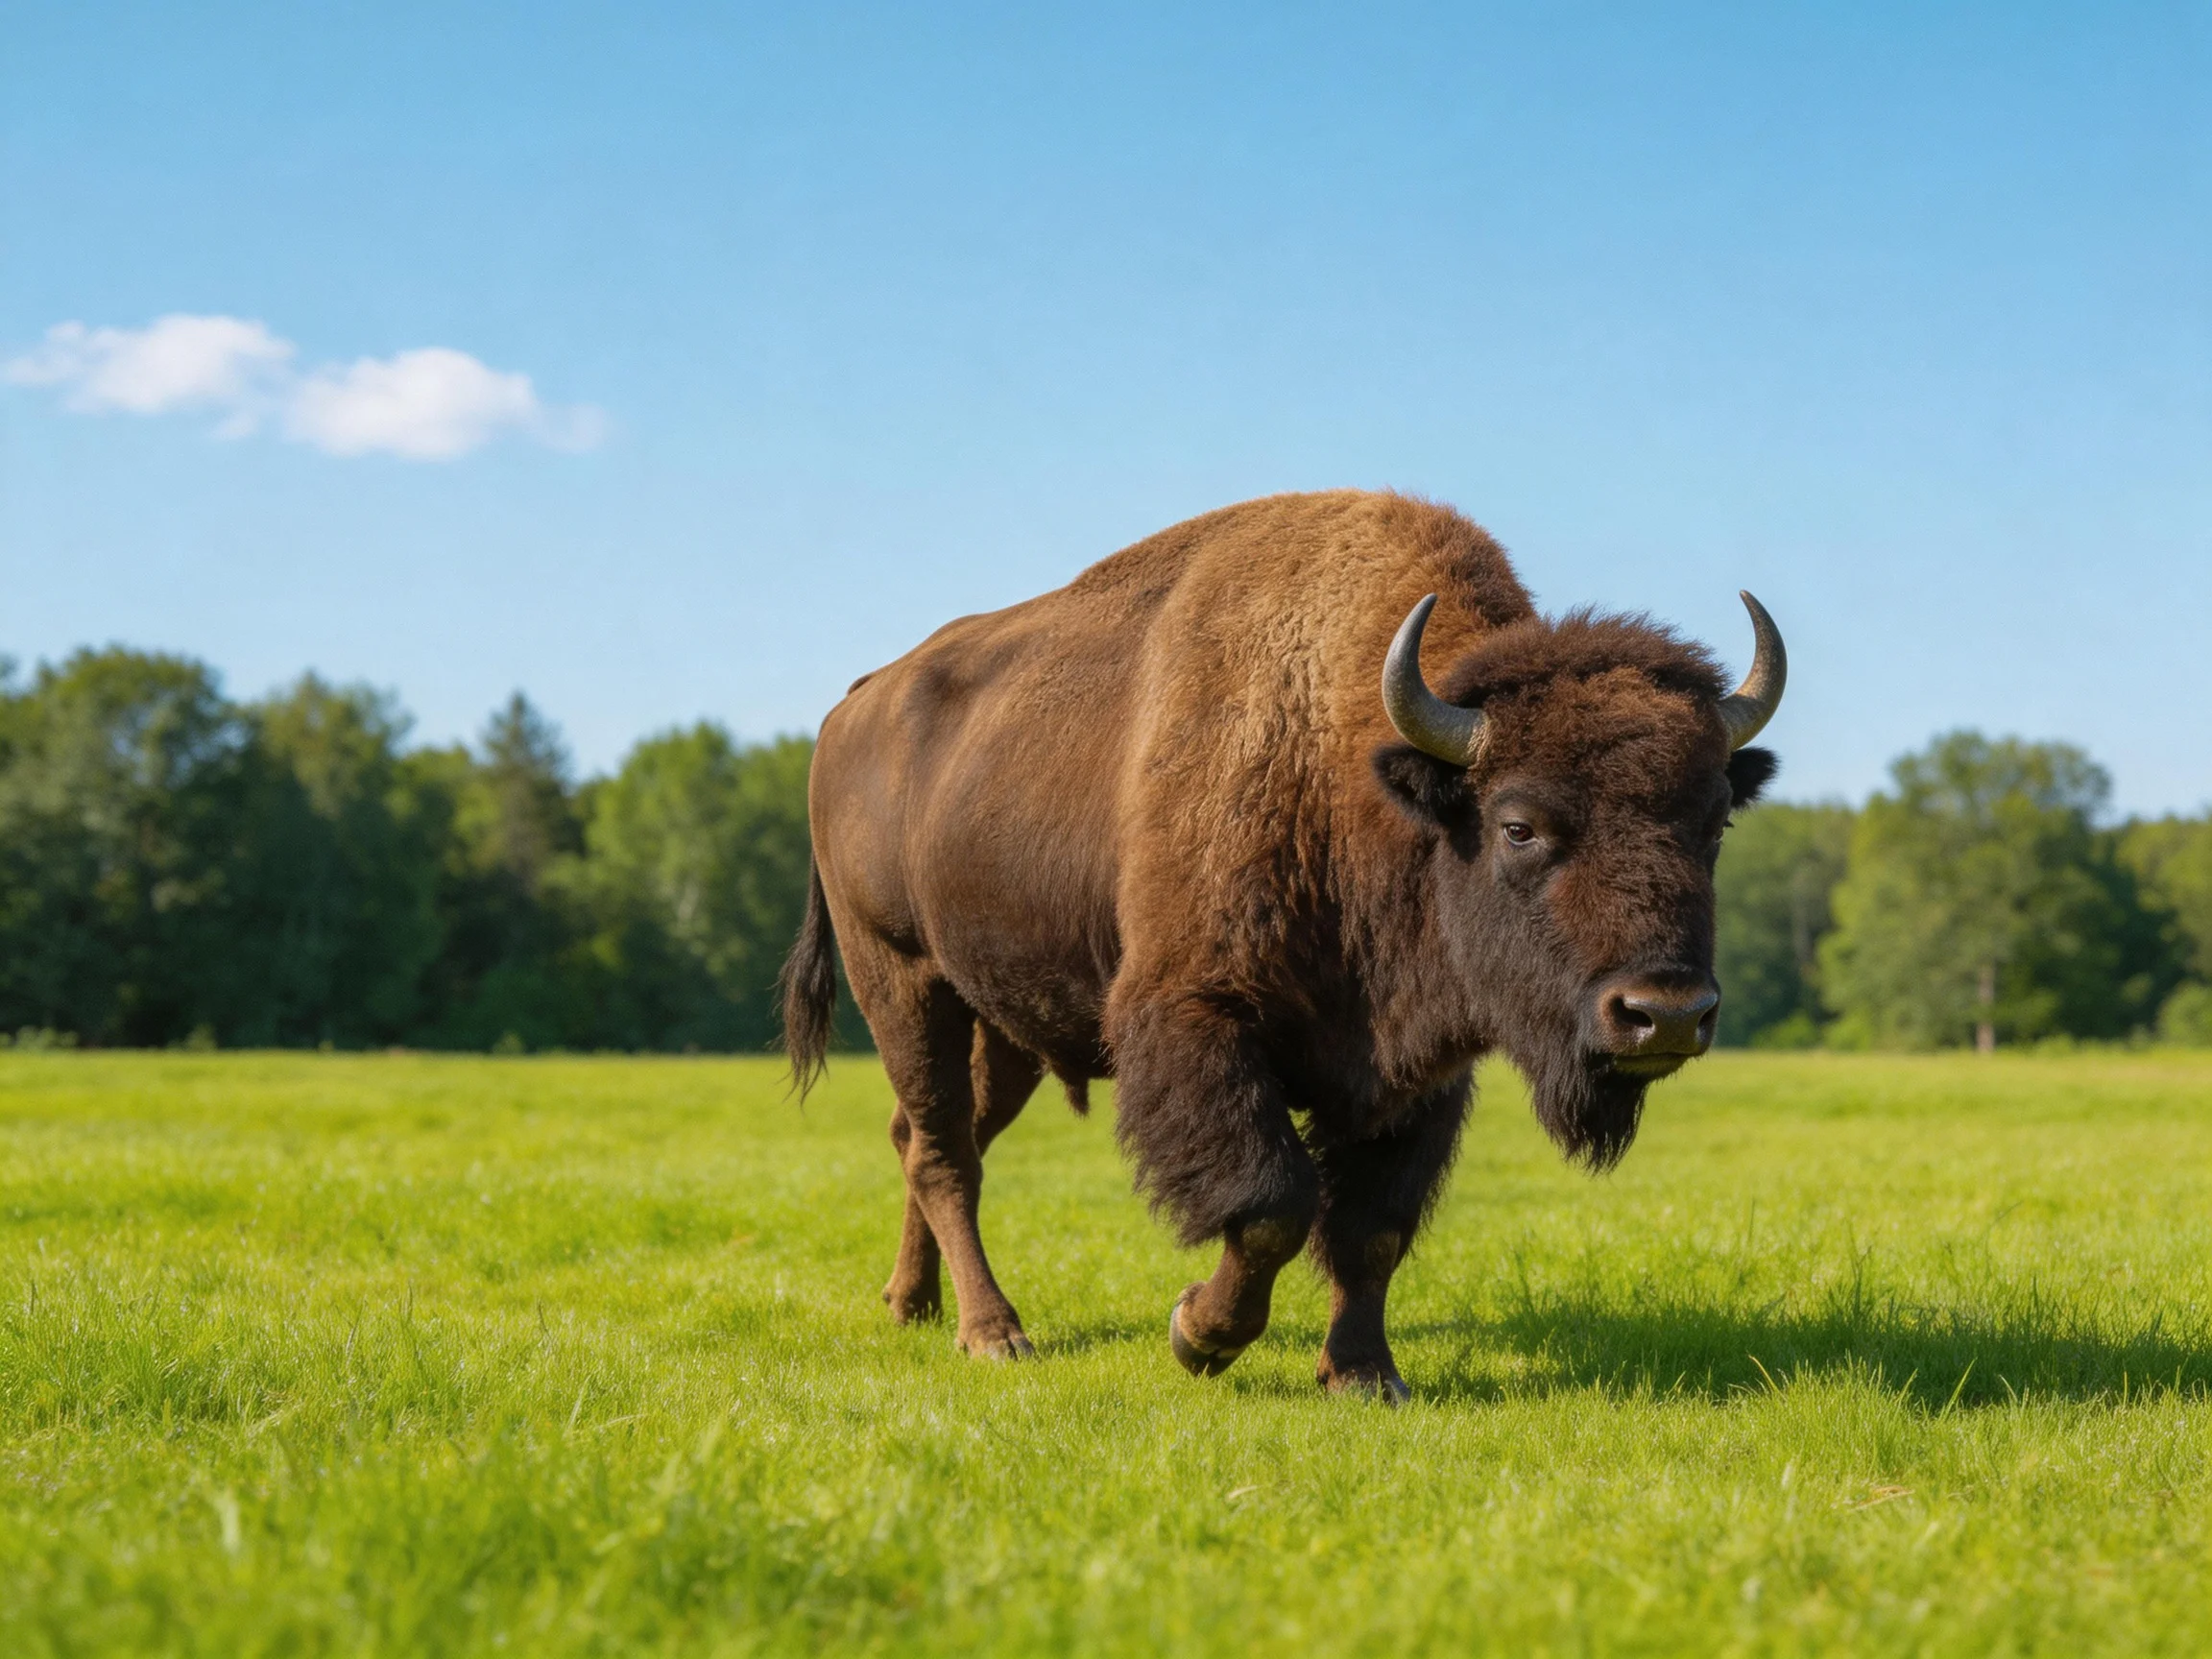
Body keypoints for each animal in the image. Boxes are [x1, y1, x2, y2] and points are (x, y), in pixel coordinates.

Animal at [781, 490, 1783, 1398]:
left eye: (1715, 822)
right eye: (1519, 826)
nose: (1665, 1014)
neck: (1355, 770)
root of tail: (850, 710)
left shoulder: (1418, 1074)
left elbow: (1371, 1228)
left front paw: (1365, 1374)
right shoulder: (1198, 1020)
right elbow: (1273, 1203)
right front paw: (1200, 1334)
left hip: (1006, 1024)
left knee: (926, 1135)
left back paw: (911, 1305)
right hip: (901, 979)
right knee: (943, 1148)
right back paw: (994, 1334)